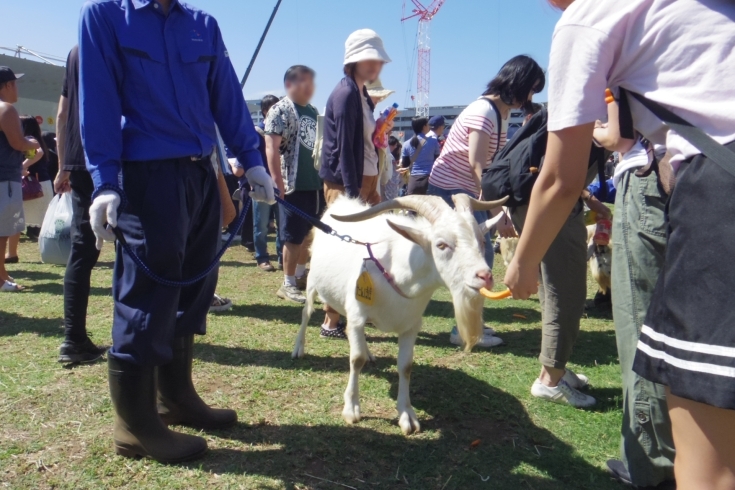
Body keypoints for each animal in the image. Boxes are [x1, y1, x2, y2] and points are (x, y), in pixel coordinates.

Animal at [292, 193, 506, 434]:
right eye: (441, 244)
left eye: (481, 241)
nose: (484, 276)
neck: (395, 273)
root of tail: (341, 201)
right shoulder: (357, 316)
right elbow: (356, 359)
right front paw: (351, 409)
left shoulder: (411, 326)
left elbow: (405, 366)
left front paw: (407, 416)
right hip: (312, 282)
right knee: (306, 313)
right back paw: (298, 348)